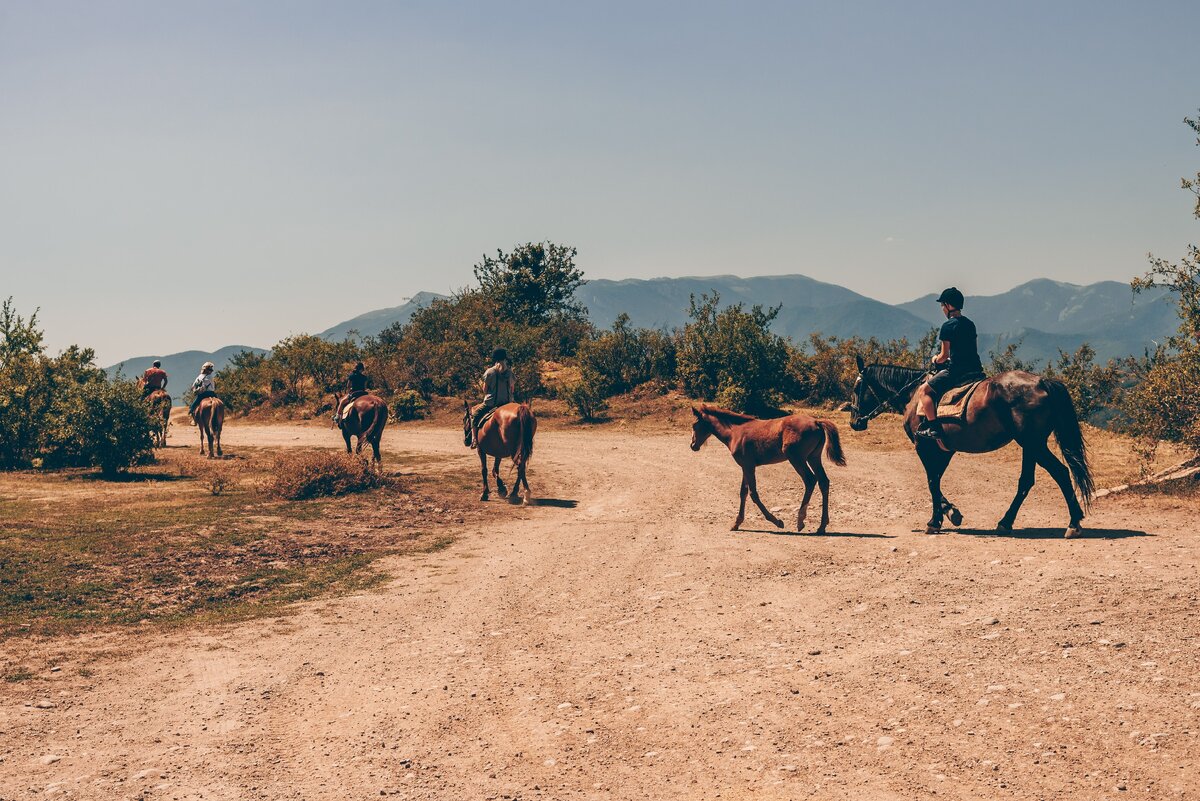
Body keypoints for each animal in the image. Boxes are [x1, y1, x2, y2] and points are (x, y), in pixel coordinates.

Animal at [691, 402, 849, 534]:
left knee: (810, 480)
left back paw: (800, 521)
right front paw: (736, 523)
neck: (735, 432)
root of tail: (816, 422)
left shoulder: (748, 466)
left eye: (694, 425)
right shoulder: (745, 466)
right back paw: (822, 526)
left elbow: (753, 494)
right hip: (813, 458)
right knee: (824, 482)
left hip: (796, 458)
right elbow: (743, 492)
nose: (693, 446)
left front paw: (777, 521)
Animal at [844, 357, 1099, 537]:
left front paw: (935, 521)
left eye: (857, 389)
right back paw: (1006, 522)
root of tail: (1042, 382)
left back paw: (1073, 523)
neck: (913, 395)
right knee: (1027, 481)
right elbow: (936, 480)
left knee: (1060, 472)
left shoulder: (924, 446)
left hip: (1033, 443)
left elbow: (931, 481)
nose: (854, 422)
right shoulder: (944, 449)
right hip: (1030, 445)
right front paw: (950, 512)